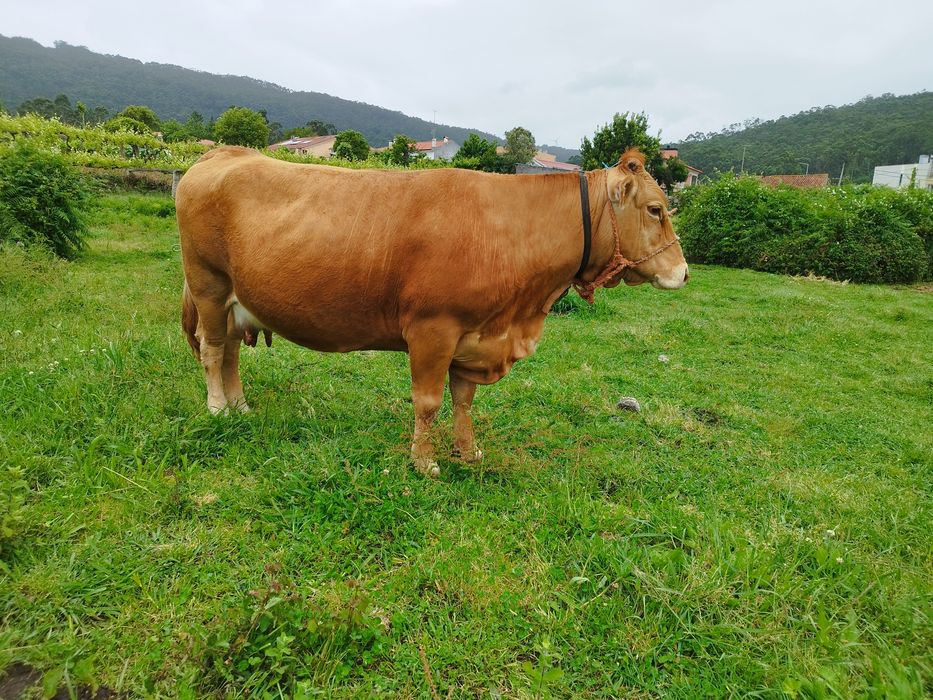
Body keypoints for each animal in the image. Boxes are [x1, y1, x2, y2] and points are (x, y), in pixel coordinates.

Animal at [176, 146, 688, 477]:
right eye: (655, 209)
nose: (683, 273)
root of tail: (223, 154)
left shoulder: (473, 335)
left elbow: (463, 401)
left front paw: (468, 451)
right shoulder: (432, 330)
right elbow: (428, 402)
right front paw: (424, 462)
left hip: (236, 301)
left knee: (230, 354)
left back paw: (241, 406)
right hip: (208, 286)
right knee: (213, 351)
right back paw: (219, 409)